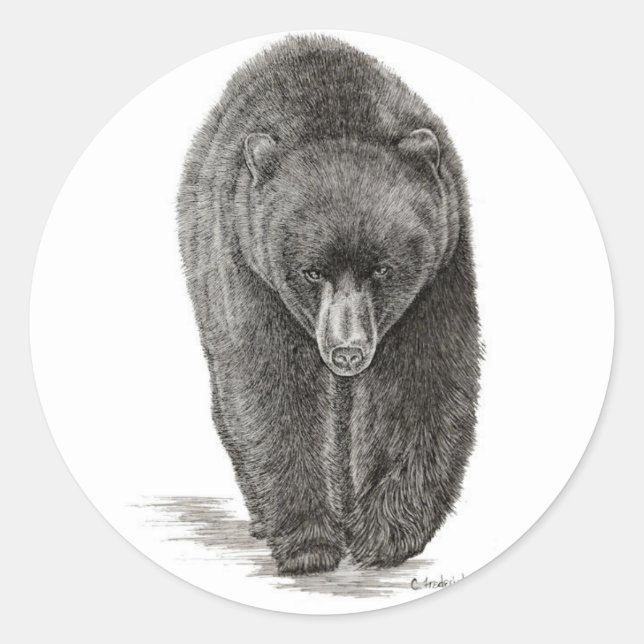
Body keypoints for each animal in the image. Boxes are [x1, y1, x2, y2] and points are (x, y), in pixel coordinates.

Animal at [177, 35, 481, 575]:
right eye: (312, 271)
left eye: (382, 269)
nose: (347, 350)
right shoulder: (246, 265)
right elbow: (272, 390)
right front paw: (309, 541)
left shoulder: (438, 274)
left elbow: (421, 383)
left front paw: (385, 534)